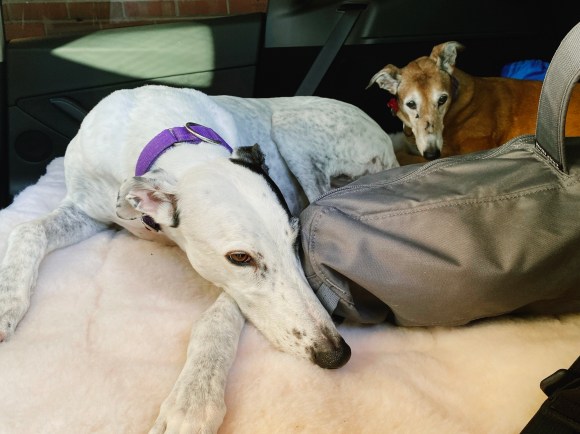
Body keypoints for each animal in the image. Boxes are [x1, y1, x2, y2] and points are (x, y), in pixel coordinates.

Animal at [0, 84, 398, 433]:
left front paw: (192, 400)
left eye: (295, 239)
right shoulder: (87, 210)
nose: (336, 354)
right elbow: (26, 230)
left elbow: (216, 320)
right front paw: (7, 303)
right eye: (240, 257)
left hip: (291, 130)